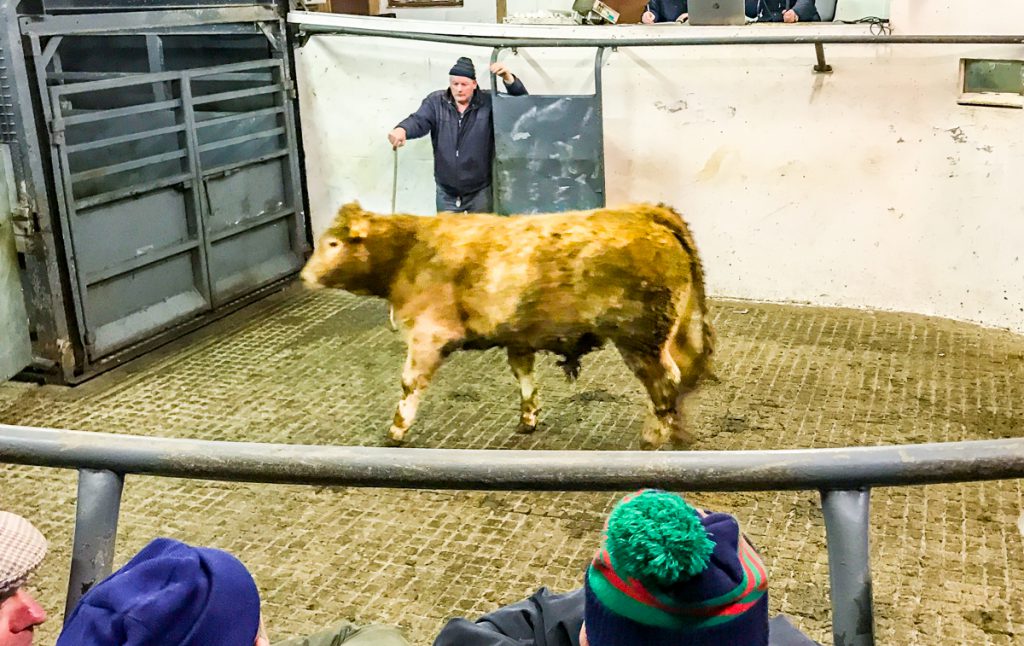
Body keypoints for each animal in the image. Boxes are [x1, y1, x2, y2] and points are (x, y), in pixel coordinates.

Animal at [300, 201, 715, 449]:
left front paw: (396, 430)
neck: (410, 251)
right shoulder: (519, 337)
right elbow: (524, 375)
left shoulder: (427, 335)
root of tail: (643, 211)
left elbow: (409, 384)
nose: (304, 276)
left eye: (334, 244)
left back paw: (654, 436)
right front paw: (528, 418)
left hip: (640, 340)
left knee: (666, 381)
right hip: (670, 332)